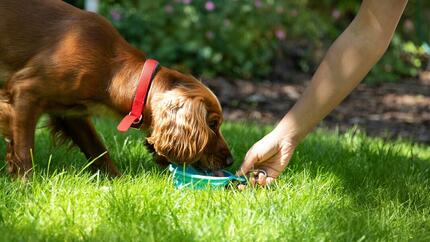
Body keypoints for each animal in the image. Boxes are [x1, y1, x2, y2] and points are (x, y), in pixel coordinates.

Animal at [0, 0, 232, 178]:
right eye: (212, 124)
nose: (230, 160)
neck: (111, 70)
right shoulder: (26, 93)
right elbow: (24, 151)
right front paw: (26, 186)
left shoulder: (71, 113)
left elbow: (98, 149)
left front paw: (117, 182)